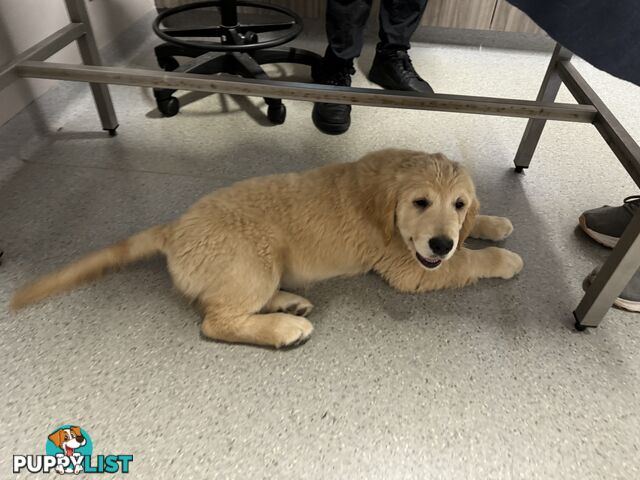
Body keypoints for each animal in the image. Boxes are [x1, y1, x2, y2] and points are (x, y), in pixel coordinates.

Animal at [11, 148, 520, 346]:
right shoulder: (409, 267)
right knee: (216, 321)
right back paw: (282, 327)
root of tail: (173, 228)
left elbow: (473, 234)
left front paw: (494, 222)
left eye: (458, 203)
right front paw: (505, 258)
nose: (440, 240)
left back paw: (289, 303)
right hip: (254, 259)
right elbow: (466, 261)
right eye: (420, 202)